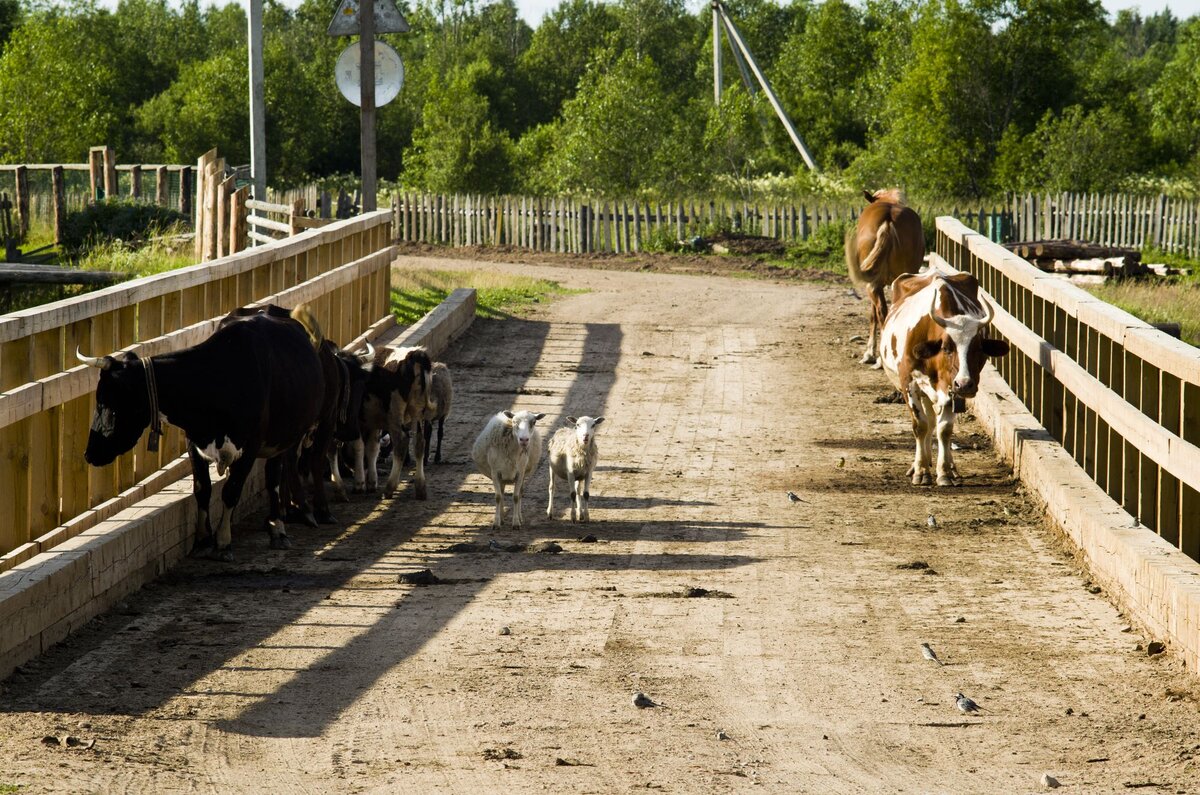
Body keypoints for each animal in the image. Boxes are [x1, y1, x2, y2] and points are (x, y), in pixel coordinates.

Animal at [80, 303, 326, 559]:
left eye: (108, 404)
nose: (90, 453)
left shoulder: (250, 447)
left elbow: (231, 491)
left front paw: (223, 541)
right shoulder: (194, 442)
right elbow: (202, 489)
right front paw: (202, 539)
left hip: (283, 439)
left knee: (274, 477)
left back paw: (278, 528)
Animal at [350, 348, 434, 501]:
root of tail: (414, 355)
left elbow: (358, 446)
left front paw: (359, 484)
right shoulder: (372, 424)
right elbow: (372, 448)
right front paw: (371, 482)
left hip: (394, 414)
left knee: (401, 441)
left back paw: (390, 488)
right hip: (416, 411)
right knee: (419, 442)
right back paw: (420, 488)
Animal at [844, 188, 926, 369]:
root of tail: (888, 220)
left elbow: (873, 315)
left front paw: (869, 354)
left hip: (873, 284)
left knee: (882, 312)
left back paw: (882, 359)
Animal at [878, 269, 1008, 485]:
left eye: (978, 348)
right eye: (947, 348)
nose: (964, 384)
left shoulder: (950, 390)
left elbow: (944, 429)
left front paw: (945, 471)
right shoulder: (909, 383)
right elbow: (920, 425)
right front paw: (921, 470)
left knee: (935, 423)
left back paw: (948, 467)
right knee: (928, 422)